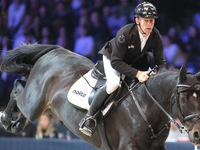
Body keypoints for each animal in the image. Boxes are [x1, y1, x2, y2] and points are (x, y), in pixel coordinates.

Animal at [0, 43, 200, 150]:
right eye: (184, 99)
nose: (197, 134)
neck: (147, 107)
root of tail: (54, 51)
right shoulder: (128, 145)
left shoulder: (157, 147)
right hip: (34, 105)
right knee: (16, 91)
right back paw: (6, 120)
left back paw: (16, 123)